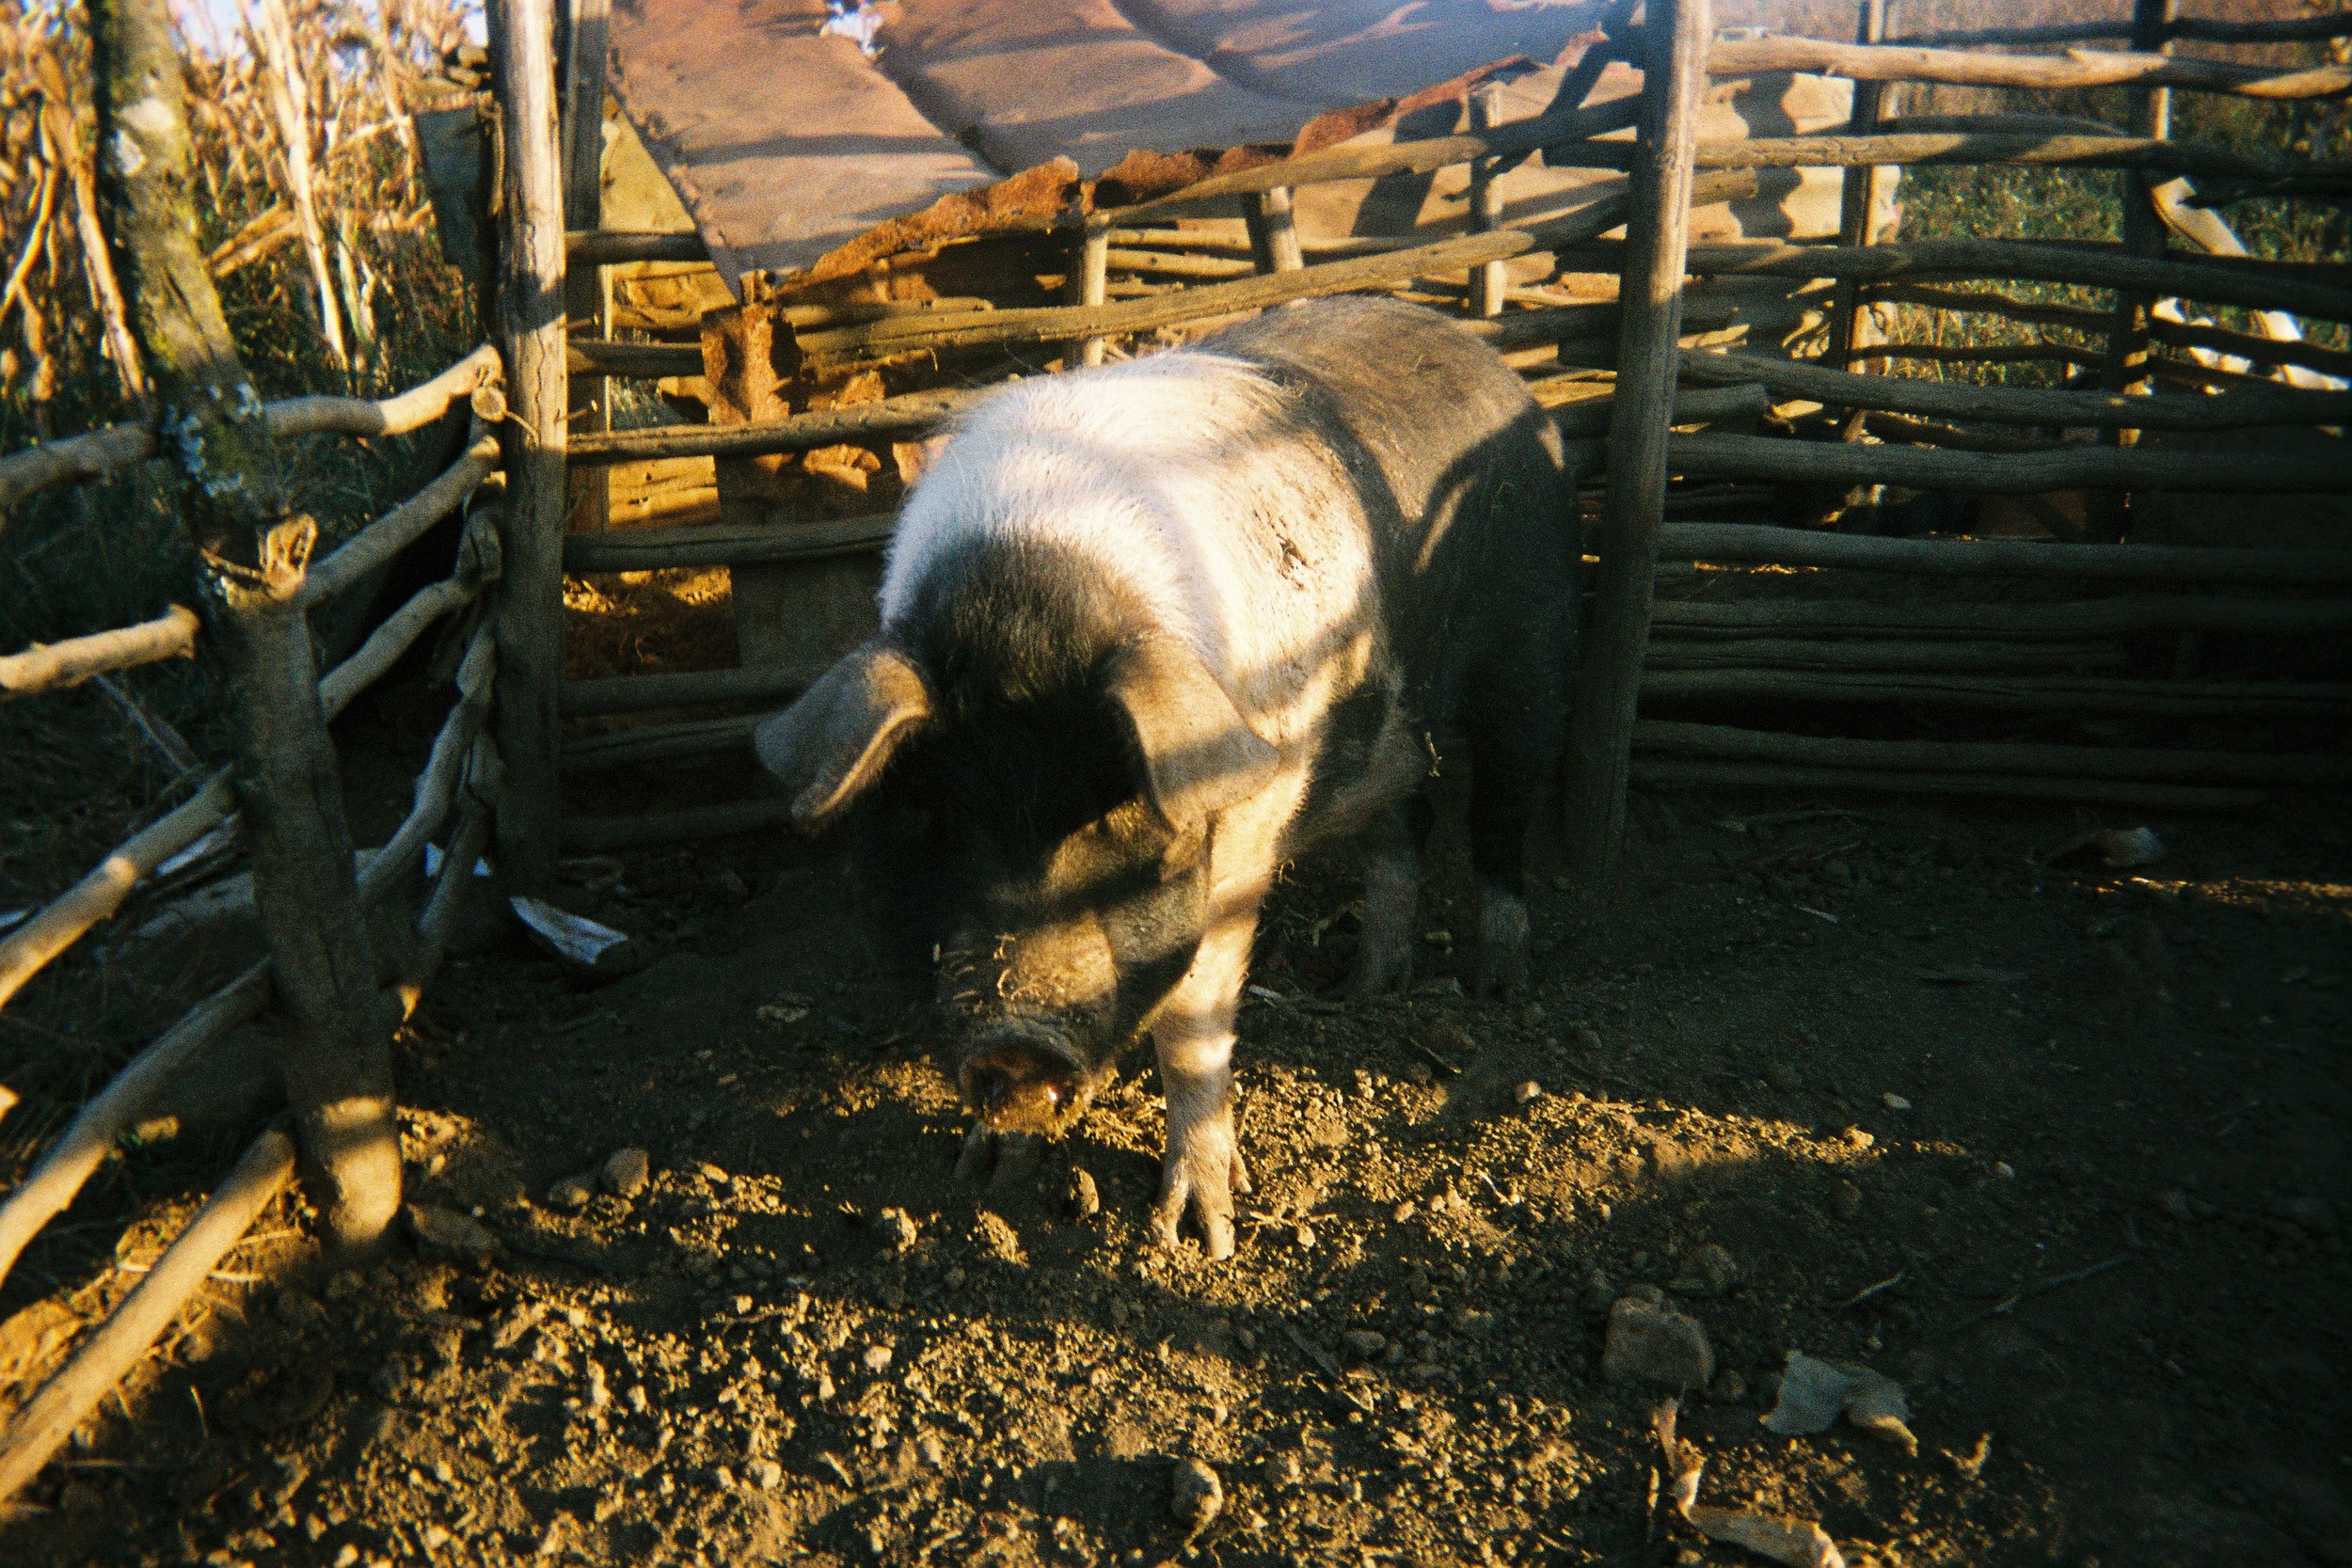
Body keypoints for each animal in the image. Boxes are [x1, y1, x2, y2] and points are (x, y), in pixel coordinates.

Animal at [753, 295, 1577, 1258]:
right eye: (930, 810)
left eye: (1116, 813)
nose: (1017, 1039)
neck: (1032, 590)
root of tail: (1483, 354)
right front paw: (984, 1174)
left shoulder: (1250, 826)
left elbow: (1193, 1030)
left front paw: (1198, 1235)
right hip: (1386, 742)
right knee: (1400, 834)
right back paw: (1365, 986)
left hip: (1533, 645)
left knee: (1500, 820)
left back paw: (1500, 986)